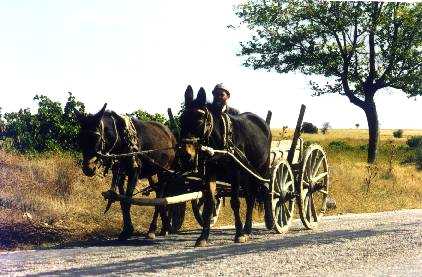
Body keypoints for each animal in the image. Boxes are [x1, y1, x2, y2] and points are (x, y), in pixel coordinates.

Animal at [76, 103, 176, 239]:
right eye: (80, 137)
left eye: (96, 136)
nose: (88, 168)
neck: (121, 140)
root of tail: (170, 134)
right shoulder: (119, 172)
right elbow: (122, 201)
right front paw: (126, 230)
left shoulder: (134, 171)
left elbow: (128, 199)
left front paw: (128, 231)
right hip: (153, 172)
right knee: (160, 194)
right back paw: (164, 227)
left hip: (164, 171)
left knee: (160, 197)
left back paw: (152, 229)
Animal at [177, 85, 270, 245]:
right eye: (182, 120)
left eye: (200, 120)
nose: (185, 155)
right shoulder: (210, 174)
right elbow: (209, 203)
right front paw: (203, 236)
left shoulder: (236, 174)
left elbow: (235, 202)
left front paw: (239, 233)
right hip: (248, 174)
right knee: (251, 197)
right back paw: (248, 229)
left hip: (260, 170)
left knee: (266, 190)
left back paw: (262, 224)